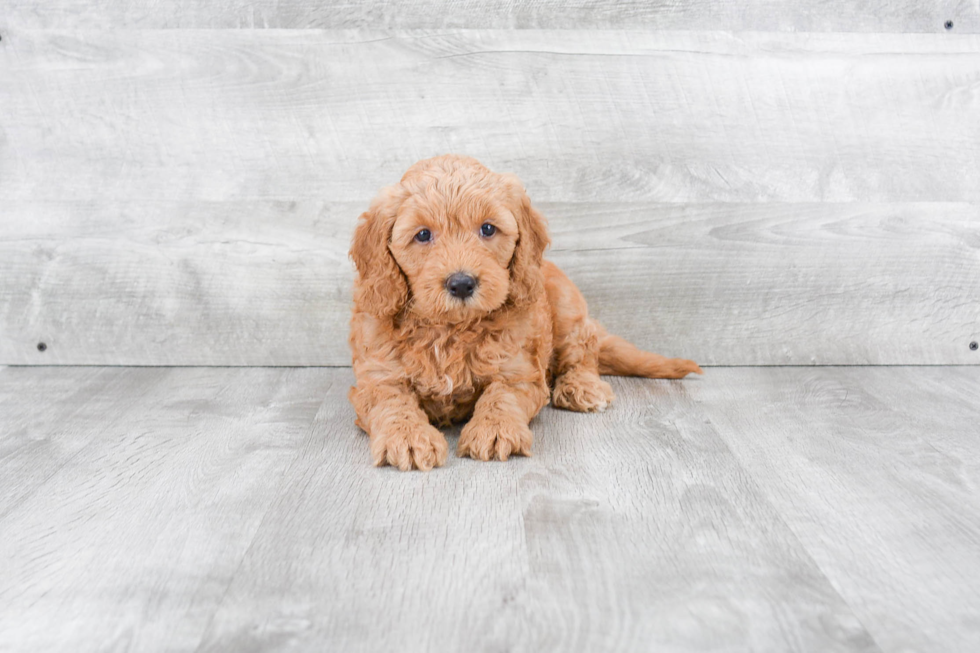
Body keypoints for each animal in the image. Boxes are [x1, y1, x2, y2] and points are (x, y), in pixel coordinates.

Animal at [348, 154, 700, 468]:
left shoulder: (519, 370)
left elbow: (501, 396)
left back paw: (582, 387)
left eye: (488, 229)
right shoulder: (378, 377)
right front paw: (408, 438)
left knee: (583, 352)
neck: (451, 328)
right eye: (422, 234)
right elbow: (393, 403)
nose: (461, 283)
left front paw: (494, 430)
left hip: (568, 310)